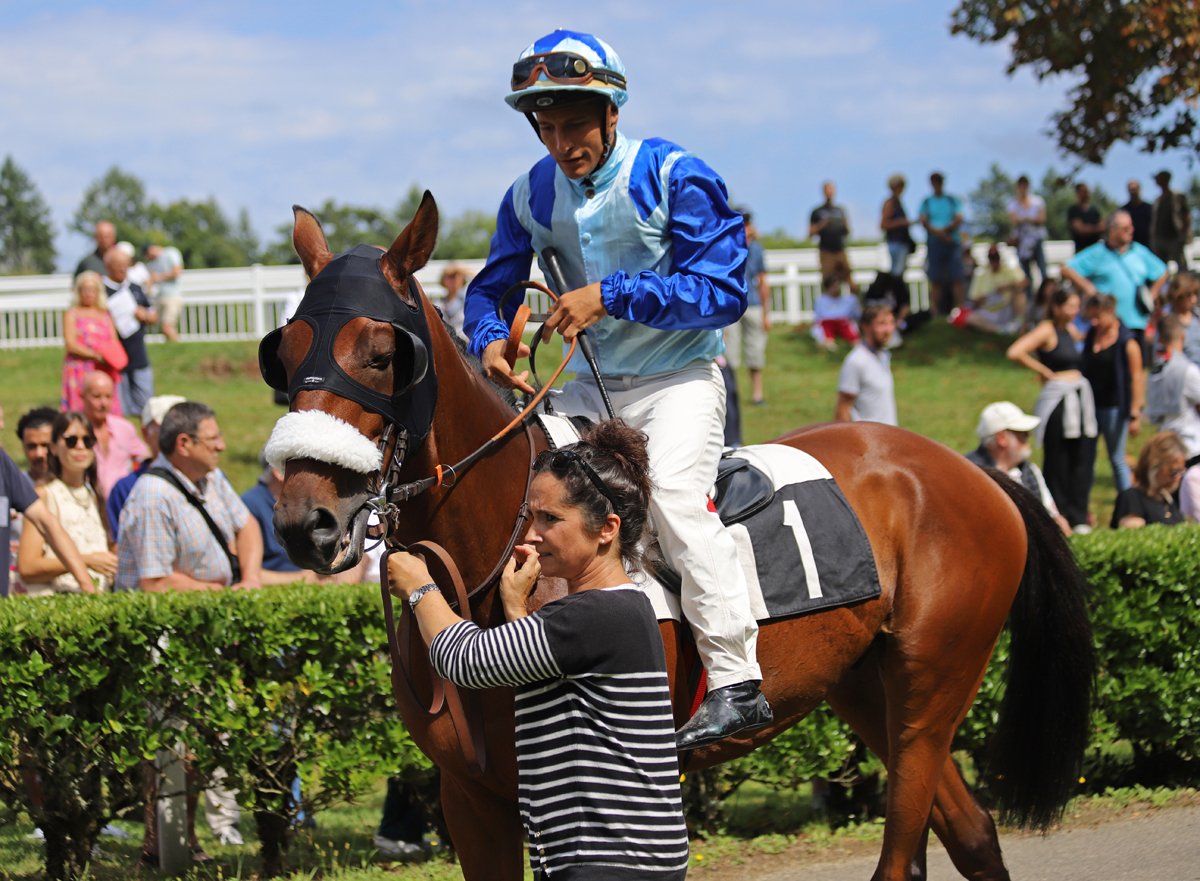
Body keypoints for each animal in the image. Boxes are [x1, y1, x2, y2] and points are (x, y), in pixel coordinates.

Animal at [262, 193, 1095, 881]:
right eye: (287, 351)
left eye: (383, 352)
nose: (306, 521)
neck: (484, 566)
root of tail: (970, 470)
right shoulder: (474, 797)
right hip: (868, 683)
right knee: (973, 832)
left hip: (931, 683)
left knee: (906, 851)